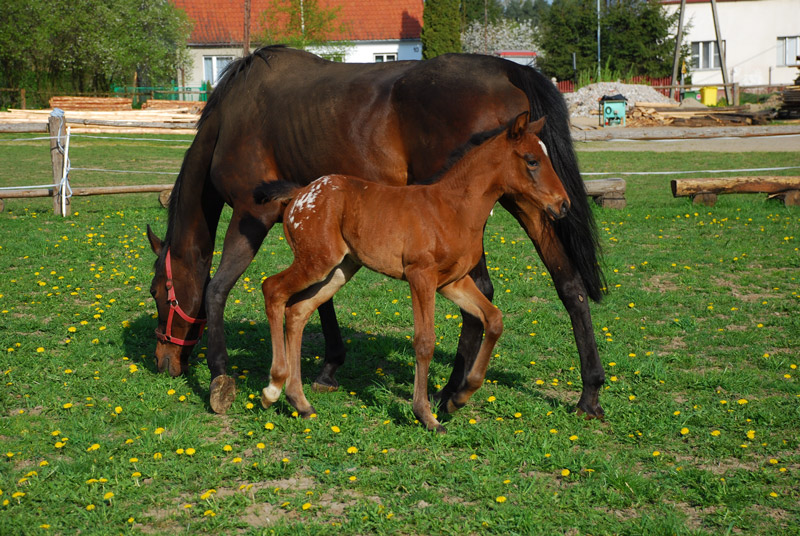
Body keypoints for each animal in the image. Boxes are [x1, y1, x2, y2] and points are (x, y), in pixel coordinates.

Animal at [256, 113, 568, 432]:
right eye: (532, 160)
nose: (563, 205)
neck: (454, 208)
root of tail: (299, 195)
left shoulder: (453, 282)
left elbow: (493, 319)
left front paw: (458, 399)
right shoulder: (421, 277)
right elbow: (425, 341)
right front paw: (426, 415)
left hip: (339, 269)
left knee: (297, 311)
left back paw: (300, 402)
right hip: (316, 262)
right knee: (273, 289)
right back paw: (272, 390)